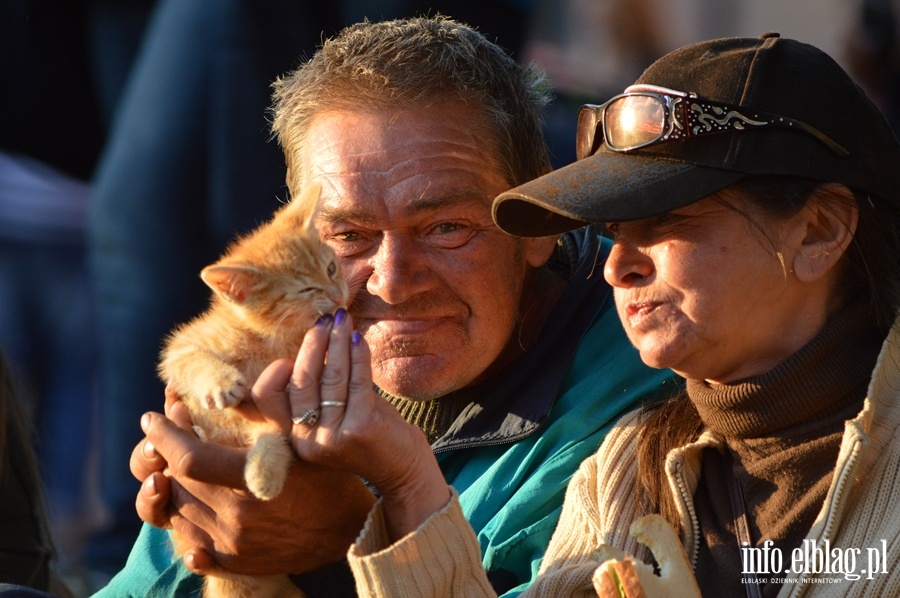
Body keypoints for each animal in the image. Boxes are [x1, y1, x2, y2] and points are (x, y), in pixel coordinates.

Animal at [159, 184, 348, 598]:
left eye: (331, 268)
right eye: (306, 289)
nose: (340, 294)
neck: (270, 341)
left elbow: (275, 434)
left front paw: (264, 473)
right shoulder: (182, 345)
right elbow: (191, 360)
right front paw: (220, 382)